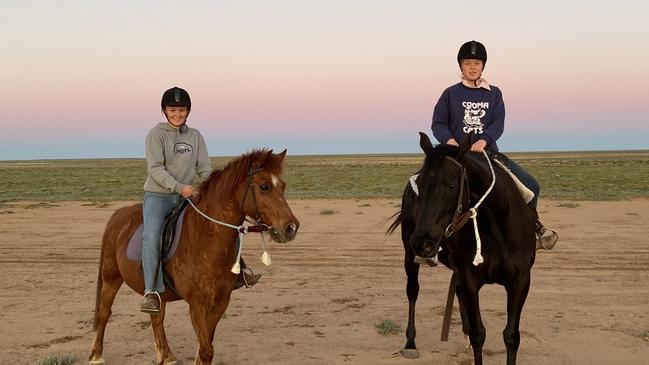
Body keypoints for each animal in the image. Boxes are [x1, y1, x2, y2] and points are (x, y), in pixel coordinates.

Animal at [89, 149, 302, 364]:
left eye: (283, 186)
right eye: (264, 186)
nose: (291, 227)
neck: (208, 239)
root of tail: (117, 215)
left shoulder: (221, 302)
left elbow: (205, 345)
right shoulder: (197, 304)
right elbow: (206, 350)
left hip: (157, 291)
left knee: (157, 318)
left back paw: (166, 355)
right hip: (111, 278)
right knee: (104, 313)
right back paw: (96, 355)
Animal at [388, 133, 536, 364]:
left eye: (451, 185)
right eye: (419, 186)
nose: (422, 242)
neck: (497, 231)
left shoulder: (520, 281)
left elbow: (511, 336)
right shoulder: (470, 280)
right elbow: (479, 334)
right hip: (409, 255)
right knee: (412, 290)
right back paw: (410, 343)